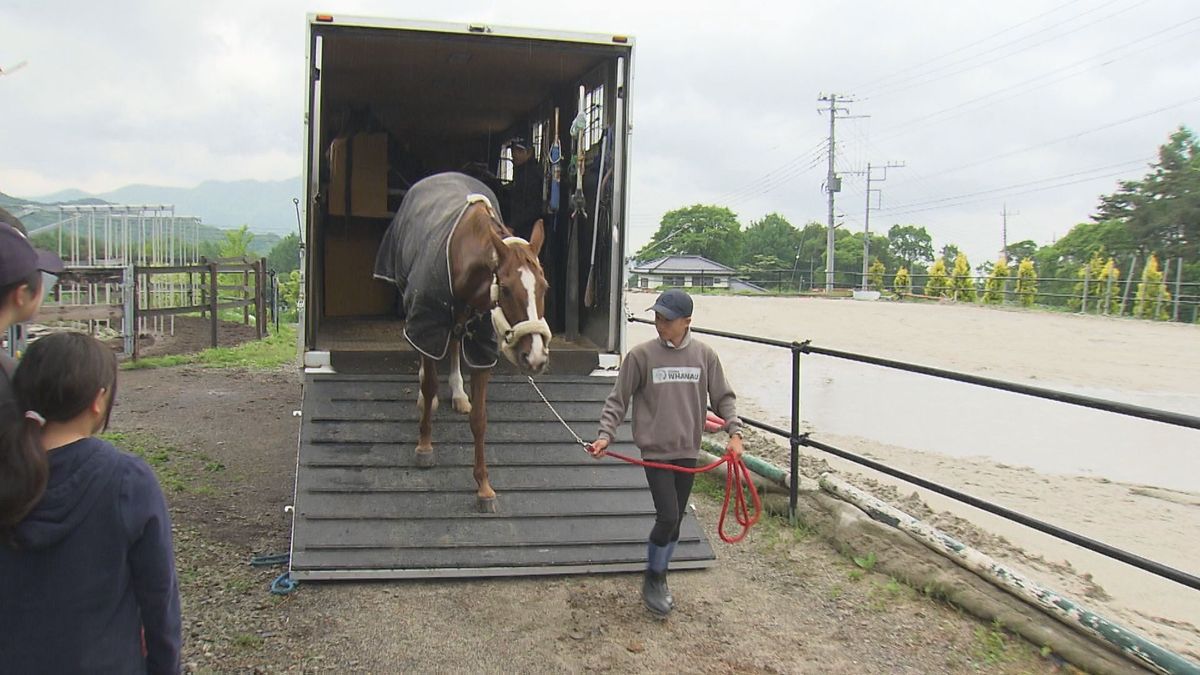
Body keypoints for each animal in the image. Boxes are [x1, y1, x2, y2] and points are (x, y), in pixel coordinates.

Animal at [372, 171, 549, 509]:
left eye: (544, 286)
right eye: (507, 289)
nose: (535, 356)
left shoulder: (482, 344)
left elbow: (480, 419)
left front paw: (483, 487)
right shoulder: (428, 324)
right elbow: (429, 383)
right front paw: (424, 446)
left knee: (454, 346)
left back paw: (457, 392)